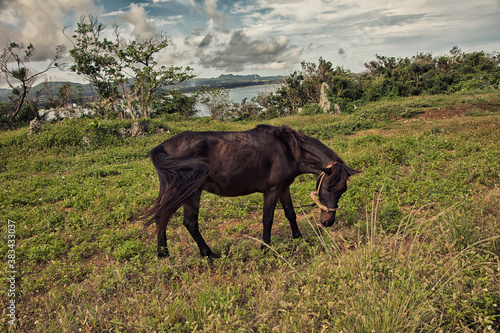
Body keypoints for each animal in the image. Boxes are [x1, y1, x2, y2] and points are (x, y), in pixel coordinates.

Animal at [141, 124, 360, 256]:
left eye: (342, 191)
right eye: (327, 187)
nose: (328, 222)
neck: (289, 150)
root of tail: (162, 146)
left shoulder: (284, 188)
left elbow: (290, 213)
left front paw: (298, 237)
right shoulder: (272, 190)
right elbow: (268, 219)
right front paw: (265, 247)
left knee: (162, 217)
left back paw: (163, 253)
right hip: (190, 193)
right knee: (188, 223)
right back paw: (209, 254)